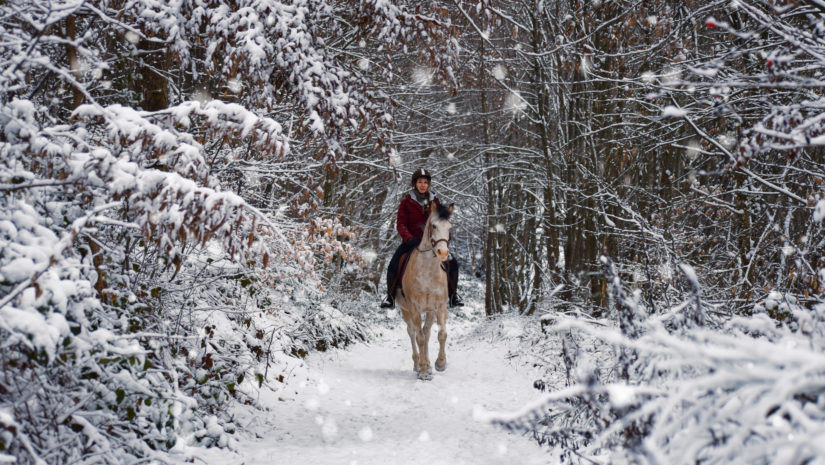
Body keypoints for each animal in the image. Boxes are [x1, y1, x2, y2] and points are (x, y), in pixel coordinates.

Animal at [396, 201, 454, 378]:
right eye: (434, 226)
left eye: (450, 227)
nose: (443, 252)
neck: (428, 272)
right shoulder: (414, 307)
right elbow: (419, 337)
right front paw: (422, 370)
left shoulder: (439, 306)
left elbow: (441, 334)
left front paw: (439, 364)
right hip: (406, 310)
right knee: (412, 332)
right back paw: (418, 364)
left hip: (430, 311)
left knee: (426, 332)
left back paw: (428, 364)